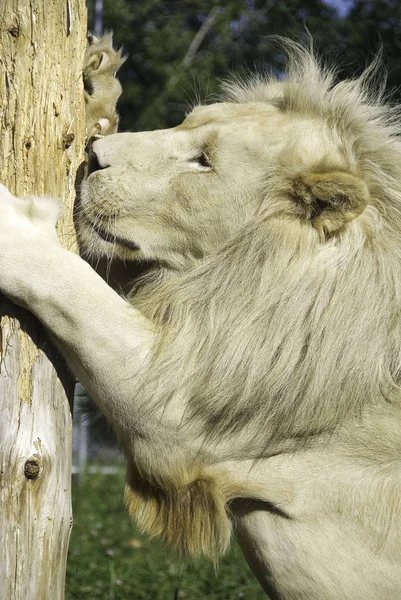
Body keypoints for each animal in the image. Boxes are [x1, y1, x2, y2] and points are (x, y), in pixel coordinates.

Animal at [0, 38, 400, 600]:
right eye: (184, 124)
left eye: (204, 161)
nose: (93, 158)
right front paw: (97, 86)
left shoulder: (179, 413)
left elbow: (73, 289)